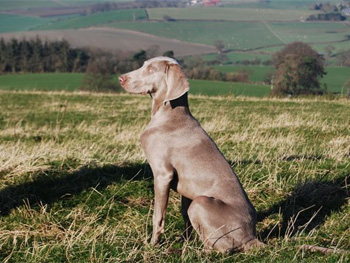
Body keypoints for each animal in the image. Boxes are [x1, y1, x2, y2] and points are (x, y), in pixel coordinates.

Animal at [119, 57, 264, 254]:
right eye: (143, 65)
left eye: (150, 69)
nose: (121, 78)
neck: (169, 113)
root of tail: (252, 236)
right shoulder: (185, 188)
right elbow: (184, 217)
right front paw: (184, 240)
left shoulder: (163, 174)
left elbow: (158, 216)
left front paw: (152, 245)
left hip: (200, 202)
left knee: (223, 248)